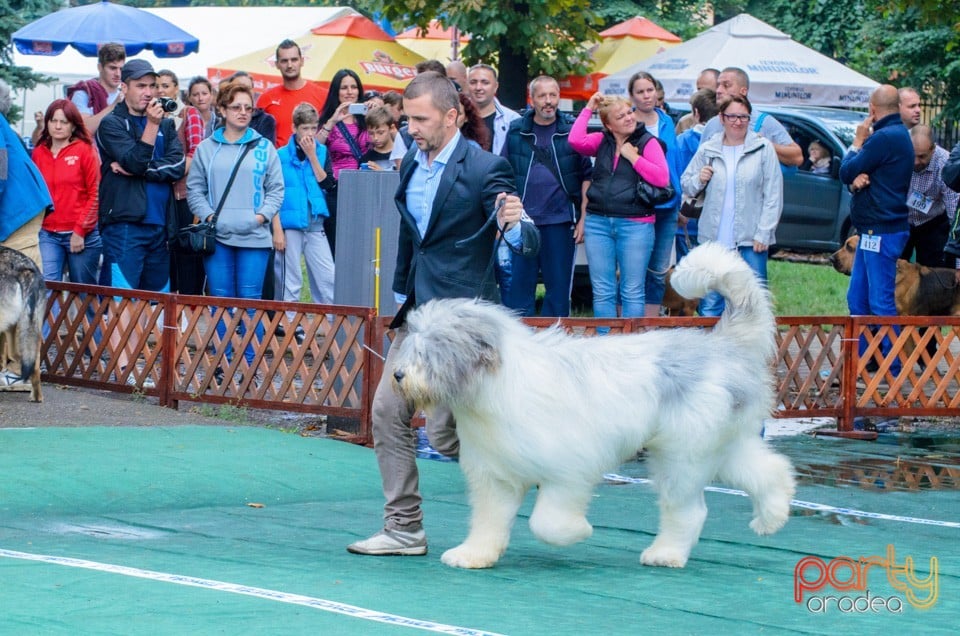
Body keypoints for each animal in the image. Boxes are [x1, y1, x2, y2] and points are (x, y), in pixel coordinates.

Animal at [390, 241, 796, 568]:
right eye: (412, 348)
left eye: (430, 354)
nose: (397, 375)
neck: (494, 388)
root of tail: (723, 344)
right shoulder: (496, 475)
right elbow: (489, 521)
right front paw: (473, 555)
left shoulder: (569, 469)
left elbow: (547, 522)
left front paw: (579, 531)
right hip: (719, 444)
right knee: (767, 470)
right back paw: (771, 516)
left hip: (683, 454)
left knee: (689, 510)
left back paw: (665, 554)